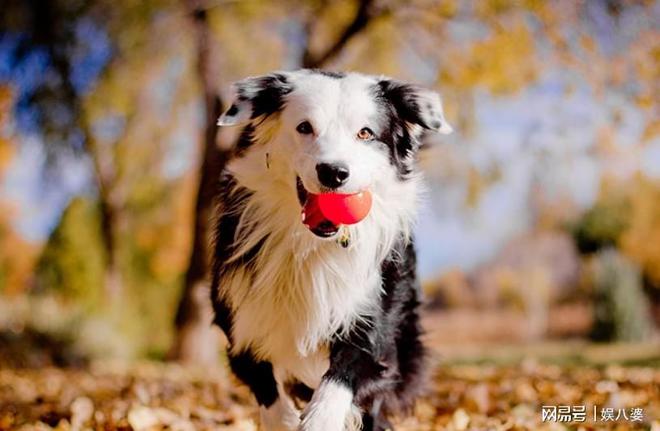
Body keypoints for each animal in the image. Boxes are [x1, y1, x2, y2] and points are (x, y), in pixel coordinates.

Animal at [211, 71, 454, 431]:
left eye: (365, 133)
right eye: (304, 127)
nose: (334, 172)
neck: (312, 246)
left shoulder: (371, 321)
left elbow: (339, 383)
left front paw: (319, 417)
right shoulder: (241, 324)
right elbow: (270, 396)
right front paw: (285, 420)